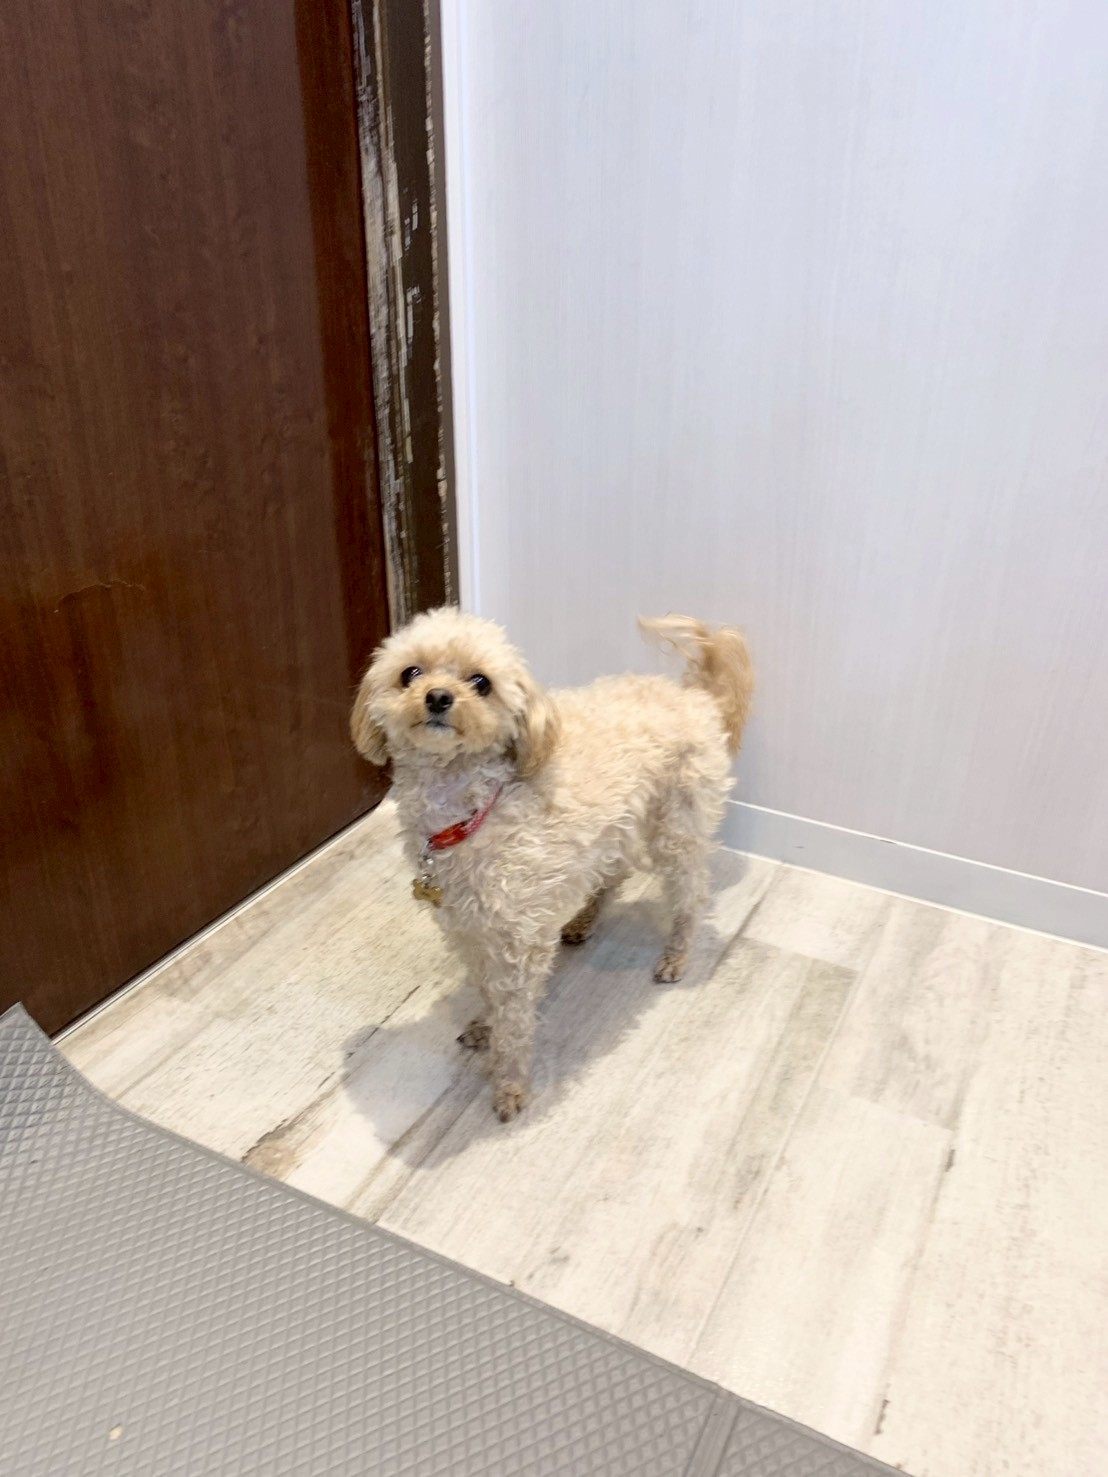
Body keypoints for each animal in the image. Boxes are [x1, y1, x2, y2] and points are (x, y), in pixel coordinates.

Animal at [351, 608, 753, 1121]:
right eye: (410, 673)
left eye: (480, 682)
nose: (438, 697)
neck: (471, 809)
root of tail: (696, 696)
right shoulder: (467, 929)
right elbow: (488, 991)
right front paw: (485, 1025)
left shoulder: (516, 943)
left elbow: (515, 1019)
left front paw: (510, 1086)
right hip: (615, 829)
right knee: (614, 874)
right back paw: (582, 921)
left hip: (676, 830)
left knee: (693, 893)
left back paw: (676, 956)